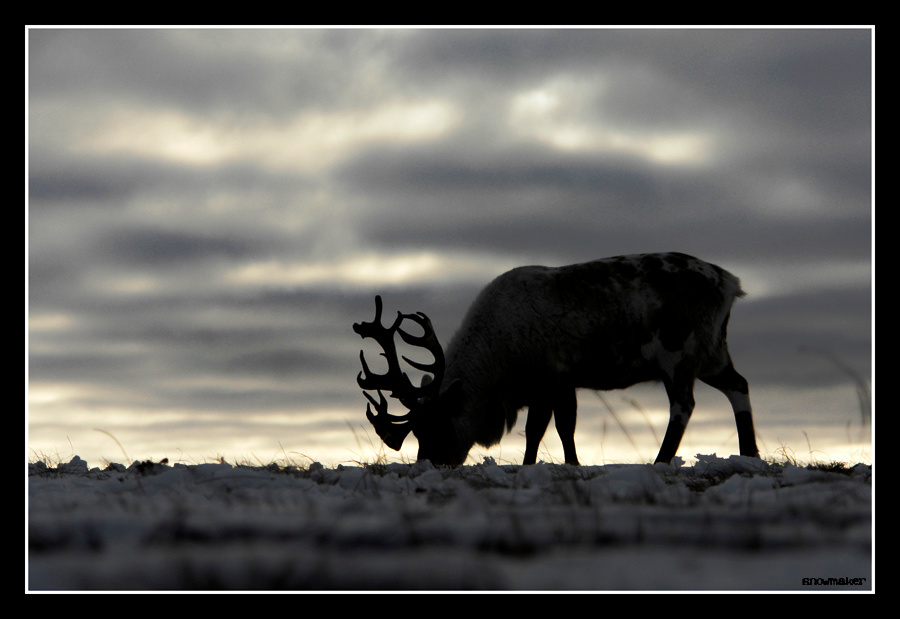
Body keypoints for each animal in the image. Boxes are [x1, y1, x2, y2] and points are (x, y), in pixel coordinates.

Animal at [353, 252, 760, 466]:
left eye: (436, 425)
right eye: (416, 432)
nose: (429, 464)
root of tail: (732, 285)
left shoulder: (553, 376)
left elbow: (553, 427)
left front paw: (565, 464)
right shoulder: (550, 385)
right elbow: (545, 429)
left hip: (678, 352)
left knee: (683, 406)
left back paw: (661, 461)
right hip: (712, 352)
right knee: (739, 385)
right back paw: (750, 455)